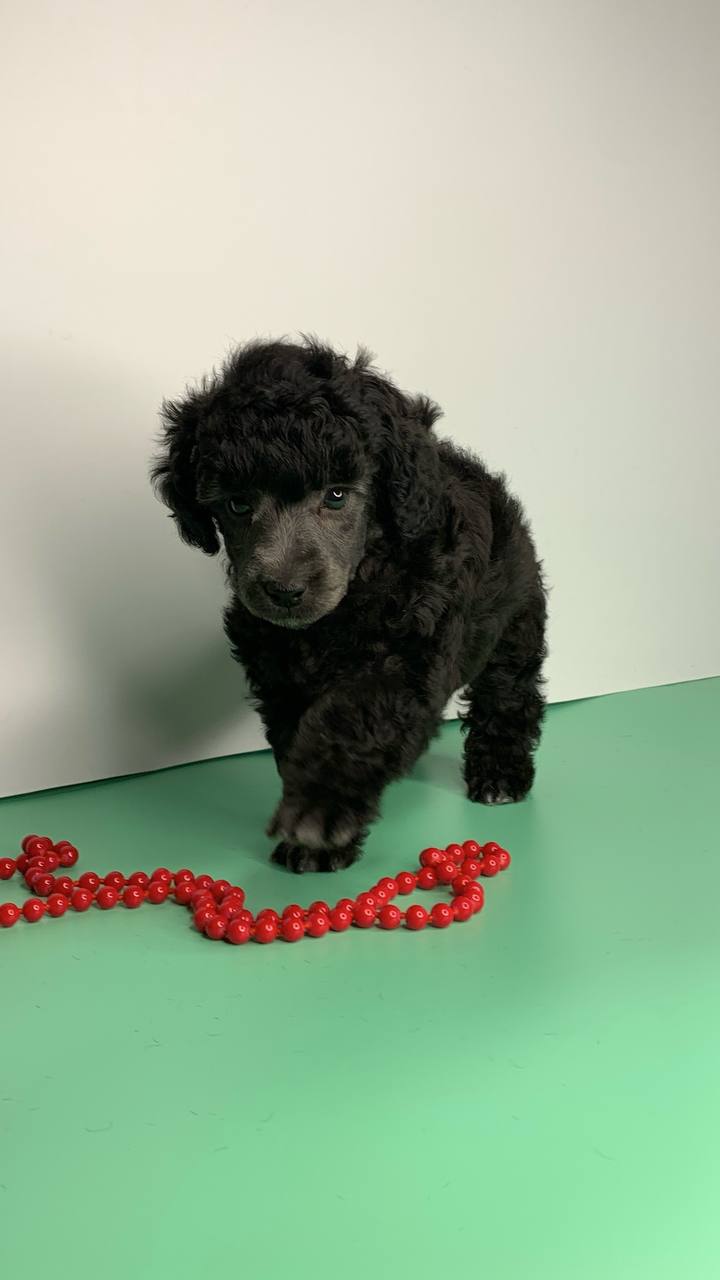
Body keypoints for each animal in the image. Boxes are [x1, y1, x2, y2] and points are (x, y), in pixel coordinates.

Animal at [152, 338, 546, 872]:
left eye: (337, 496)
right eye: (236, 505)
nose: (284, 591)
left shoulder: (406, 656)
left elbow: (354, 724)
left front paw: (321, 811)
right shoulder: (280, 675)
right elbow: (298, 736)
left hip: (515, 620)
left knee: (508, 692)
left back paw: (501, 774)